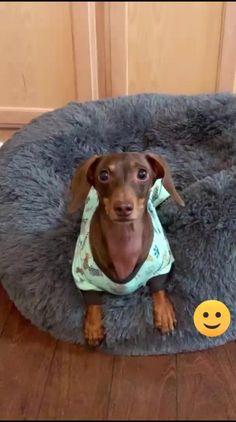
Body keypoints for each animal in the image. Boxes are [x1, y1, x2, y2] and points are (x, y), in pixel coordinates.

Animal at [68, 152, 184, 346]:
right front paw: (93, 326)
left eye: (142, 174)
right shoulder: (81, 275)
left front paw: (164, 313)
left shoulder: (163, 263)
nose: (123, 207)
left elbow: (158, 287)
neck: (124, 237)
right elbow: (92, 301)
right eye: (104, 175)